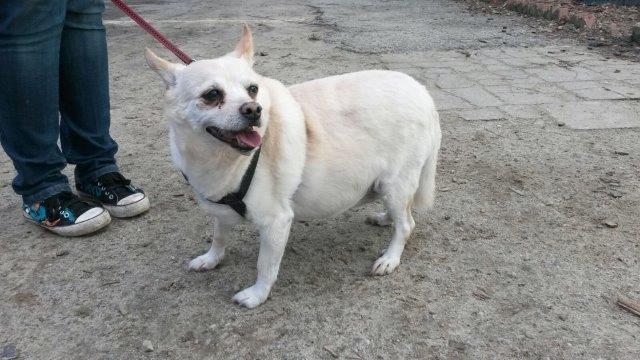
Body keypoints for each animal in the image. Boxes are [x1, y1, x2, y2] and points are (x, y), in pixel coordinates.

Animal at [146, 25, 440, 308]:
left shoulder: (276, 222)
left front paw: (257, 295)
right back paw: (384, 219)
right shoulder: (221, 208)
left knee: (407, 224)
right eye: (212, 95)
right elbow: (218, 235)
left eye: (252, 89)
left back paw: (390, 258)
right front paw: (211, 259)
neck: (219, 159)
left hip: (395, 185)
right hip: (387, 187)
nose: (254, 109)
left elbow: (265, 265)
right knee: (401, 214)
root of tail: (423, 92)